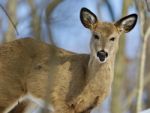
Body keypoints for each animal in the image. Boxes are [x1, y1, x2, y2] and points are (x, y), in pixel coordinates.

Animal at [0, 7, 137, 113]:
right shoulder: (61, 100)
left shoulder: (87, 108)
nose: (102, 53)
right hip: (7, 87)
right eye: (96, 35)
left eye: (113, 38)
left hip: (26, 100)